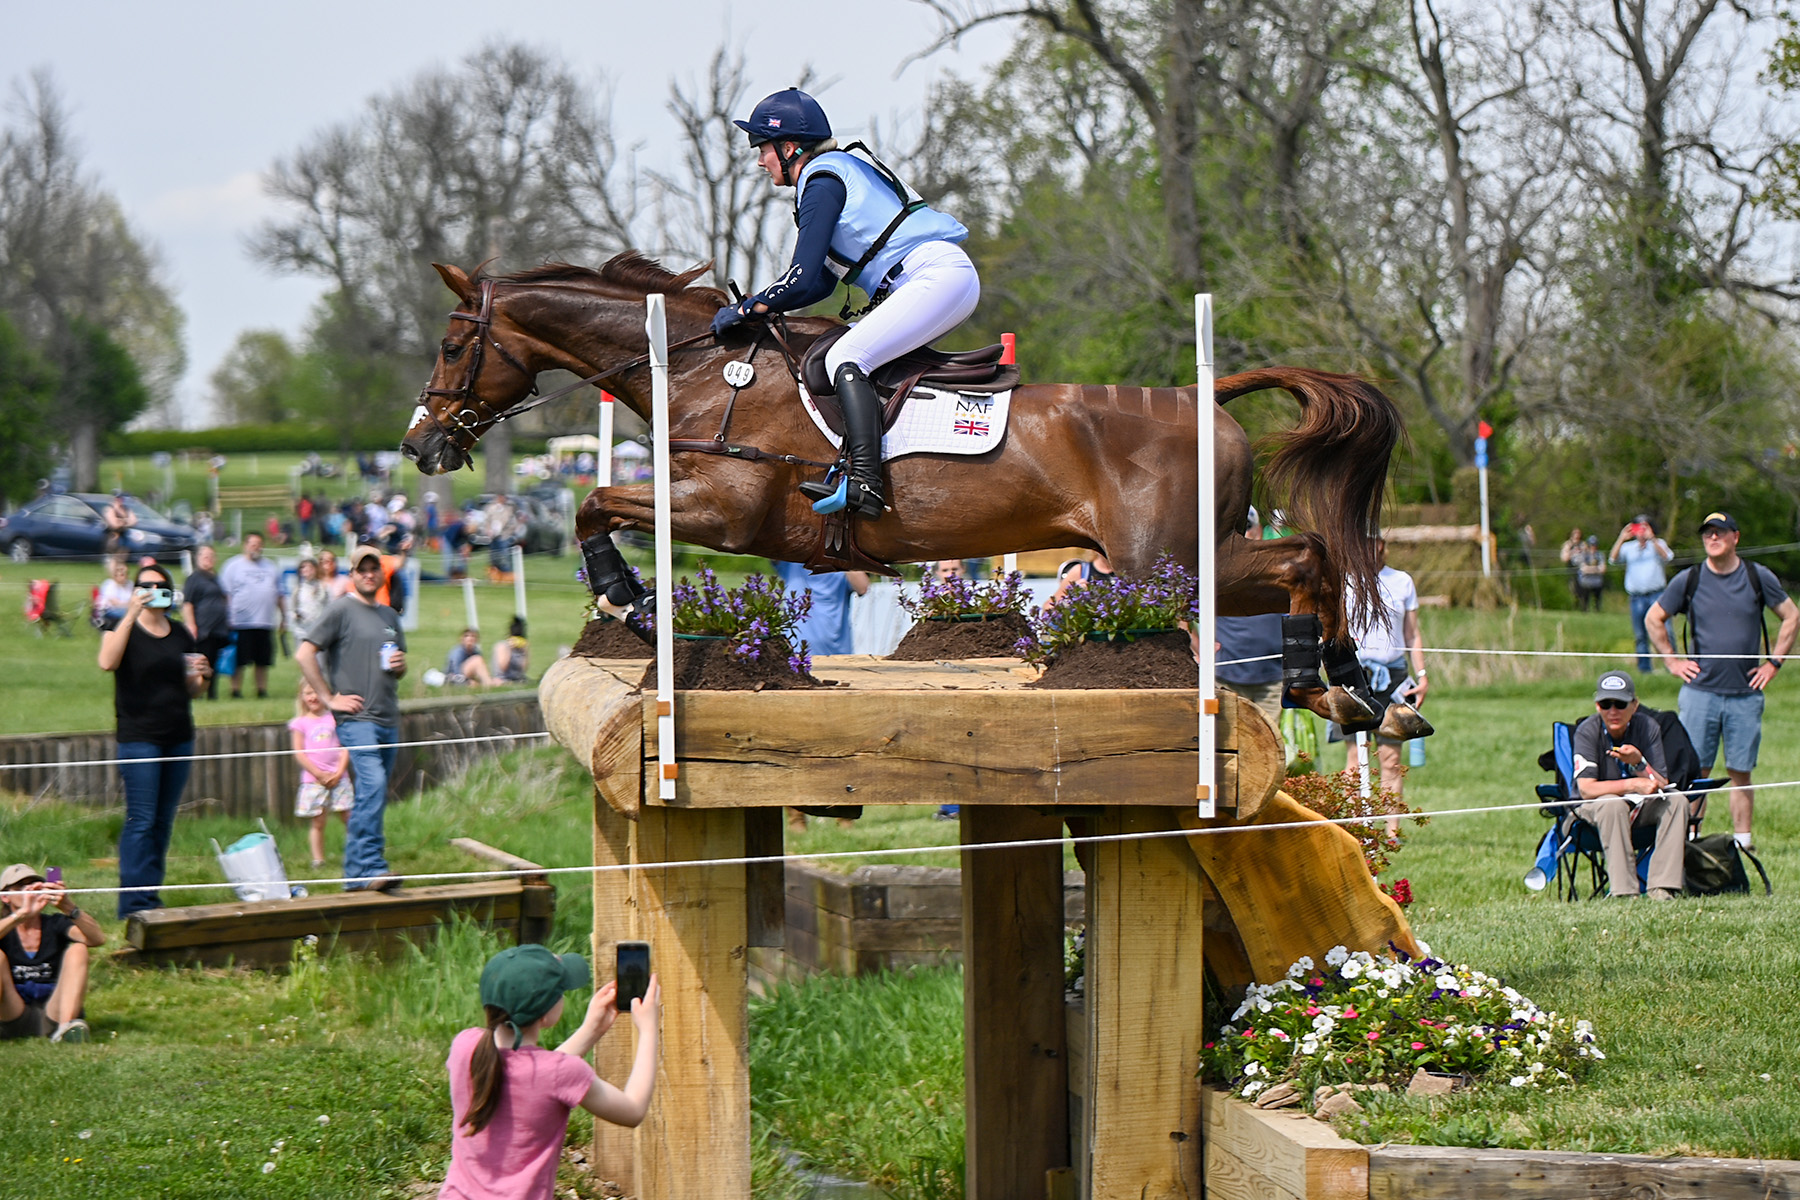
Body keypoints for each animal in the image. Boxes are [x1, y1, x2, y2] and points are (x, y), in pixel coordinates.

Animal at [401, 251, 1411, 734]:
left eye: (450, 346)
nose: (419, 446)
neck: (700, 365)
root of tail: (1209, 396)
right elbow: (597, 503)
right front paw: (638, 607)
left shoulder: (724, 510)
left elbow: (594, 504)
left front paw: (629, 599)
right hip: (1177, 562)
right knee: (1305, 559)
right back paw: (1339, 690)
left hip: (1164, 561)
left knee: (1307, 557)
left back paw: (1340, 686)